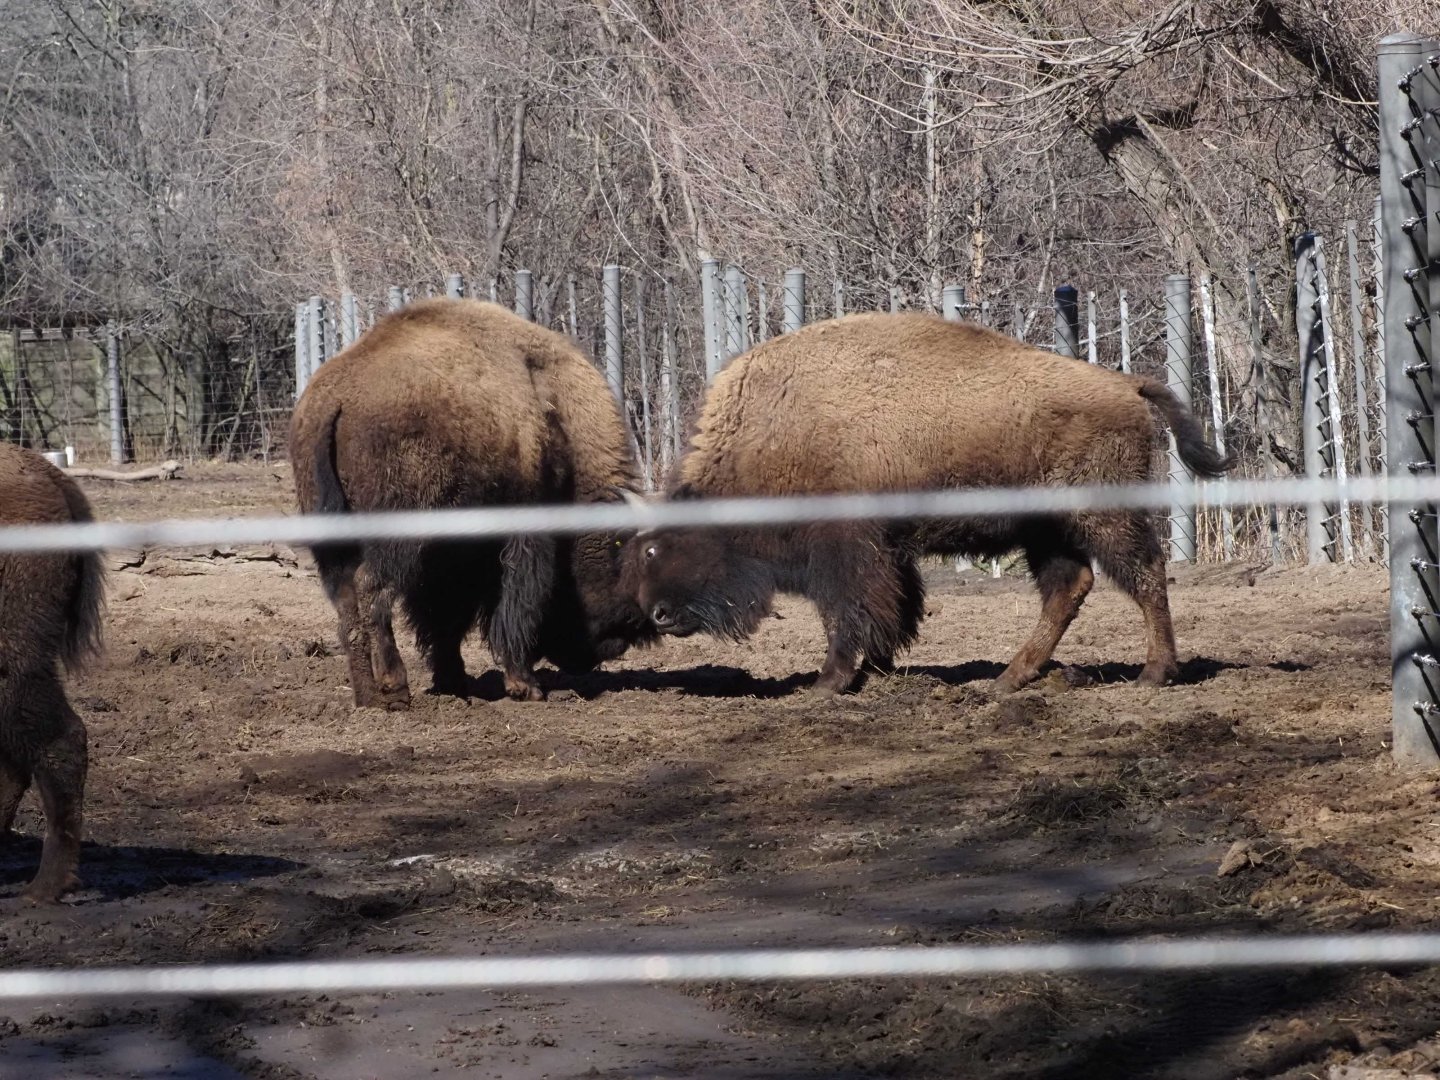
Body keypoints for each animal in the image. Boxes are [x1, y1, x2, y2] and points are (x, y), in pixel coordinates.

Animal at [290, 298, 656, 706]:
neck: (557, 416)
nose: (600, 652)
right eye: (617, 576)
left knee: (347, 604)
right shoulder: (522, 535)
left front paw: (453, 682)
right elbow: (514, 603)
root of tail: (336, 397)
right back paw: (396, 687)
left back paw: (369, 696)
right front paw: (525, 685)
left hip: (335, 543)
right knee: (373, 589)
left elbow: (446, 616)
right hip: (396, 537)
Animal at [625, 312, 1231, 697]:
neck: (771, 433)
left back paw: (1154, 674)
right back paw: (1006, 680)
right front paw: (877, 668)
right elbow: (892, 609)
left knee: (1144, 574)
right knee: (1069, 587)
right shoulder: (887, 553)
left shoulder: (845, 550)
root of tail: (1127, 384)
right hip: (1047, 530)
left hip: (1103, 517)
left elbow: (847, 612)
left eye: (655, 550)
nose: (657, 614)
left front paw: (828, 683)